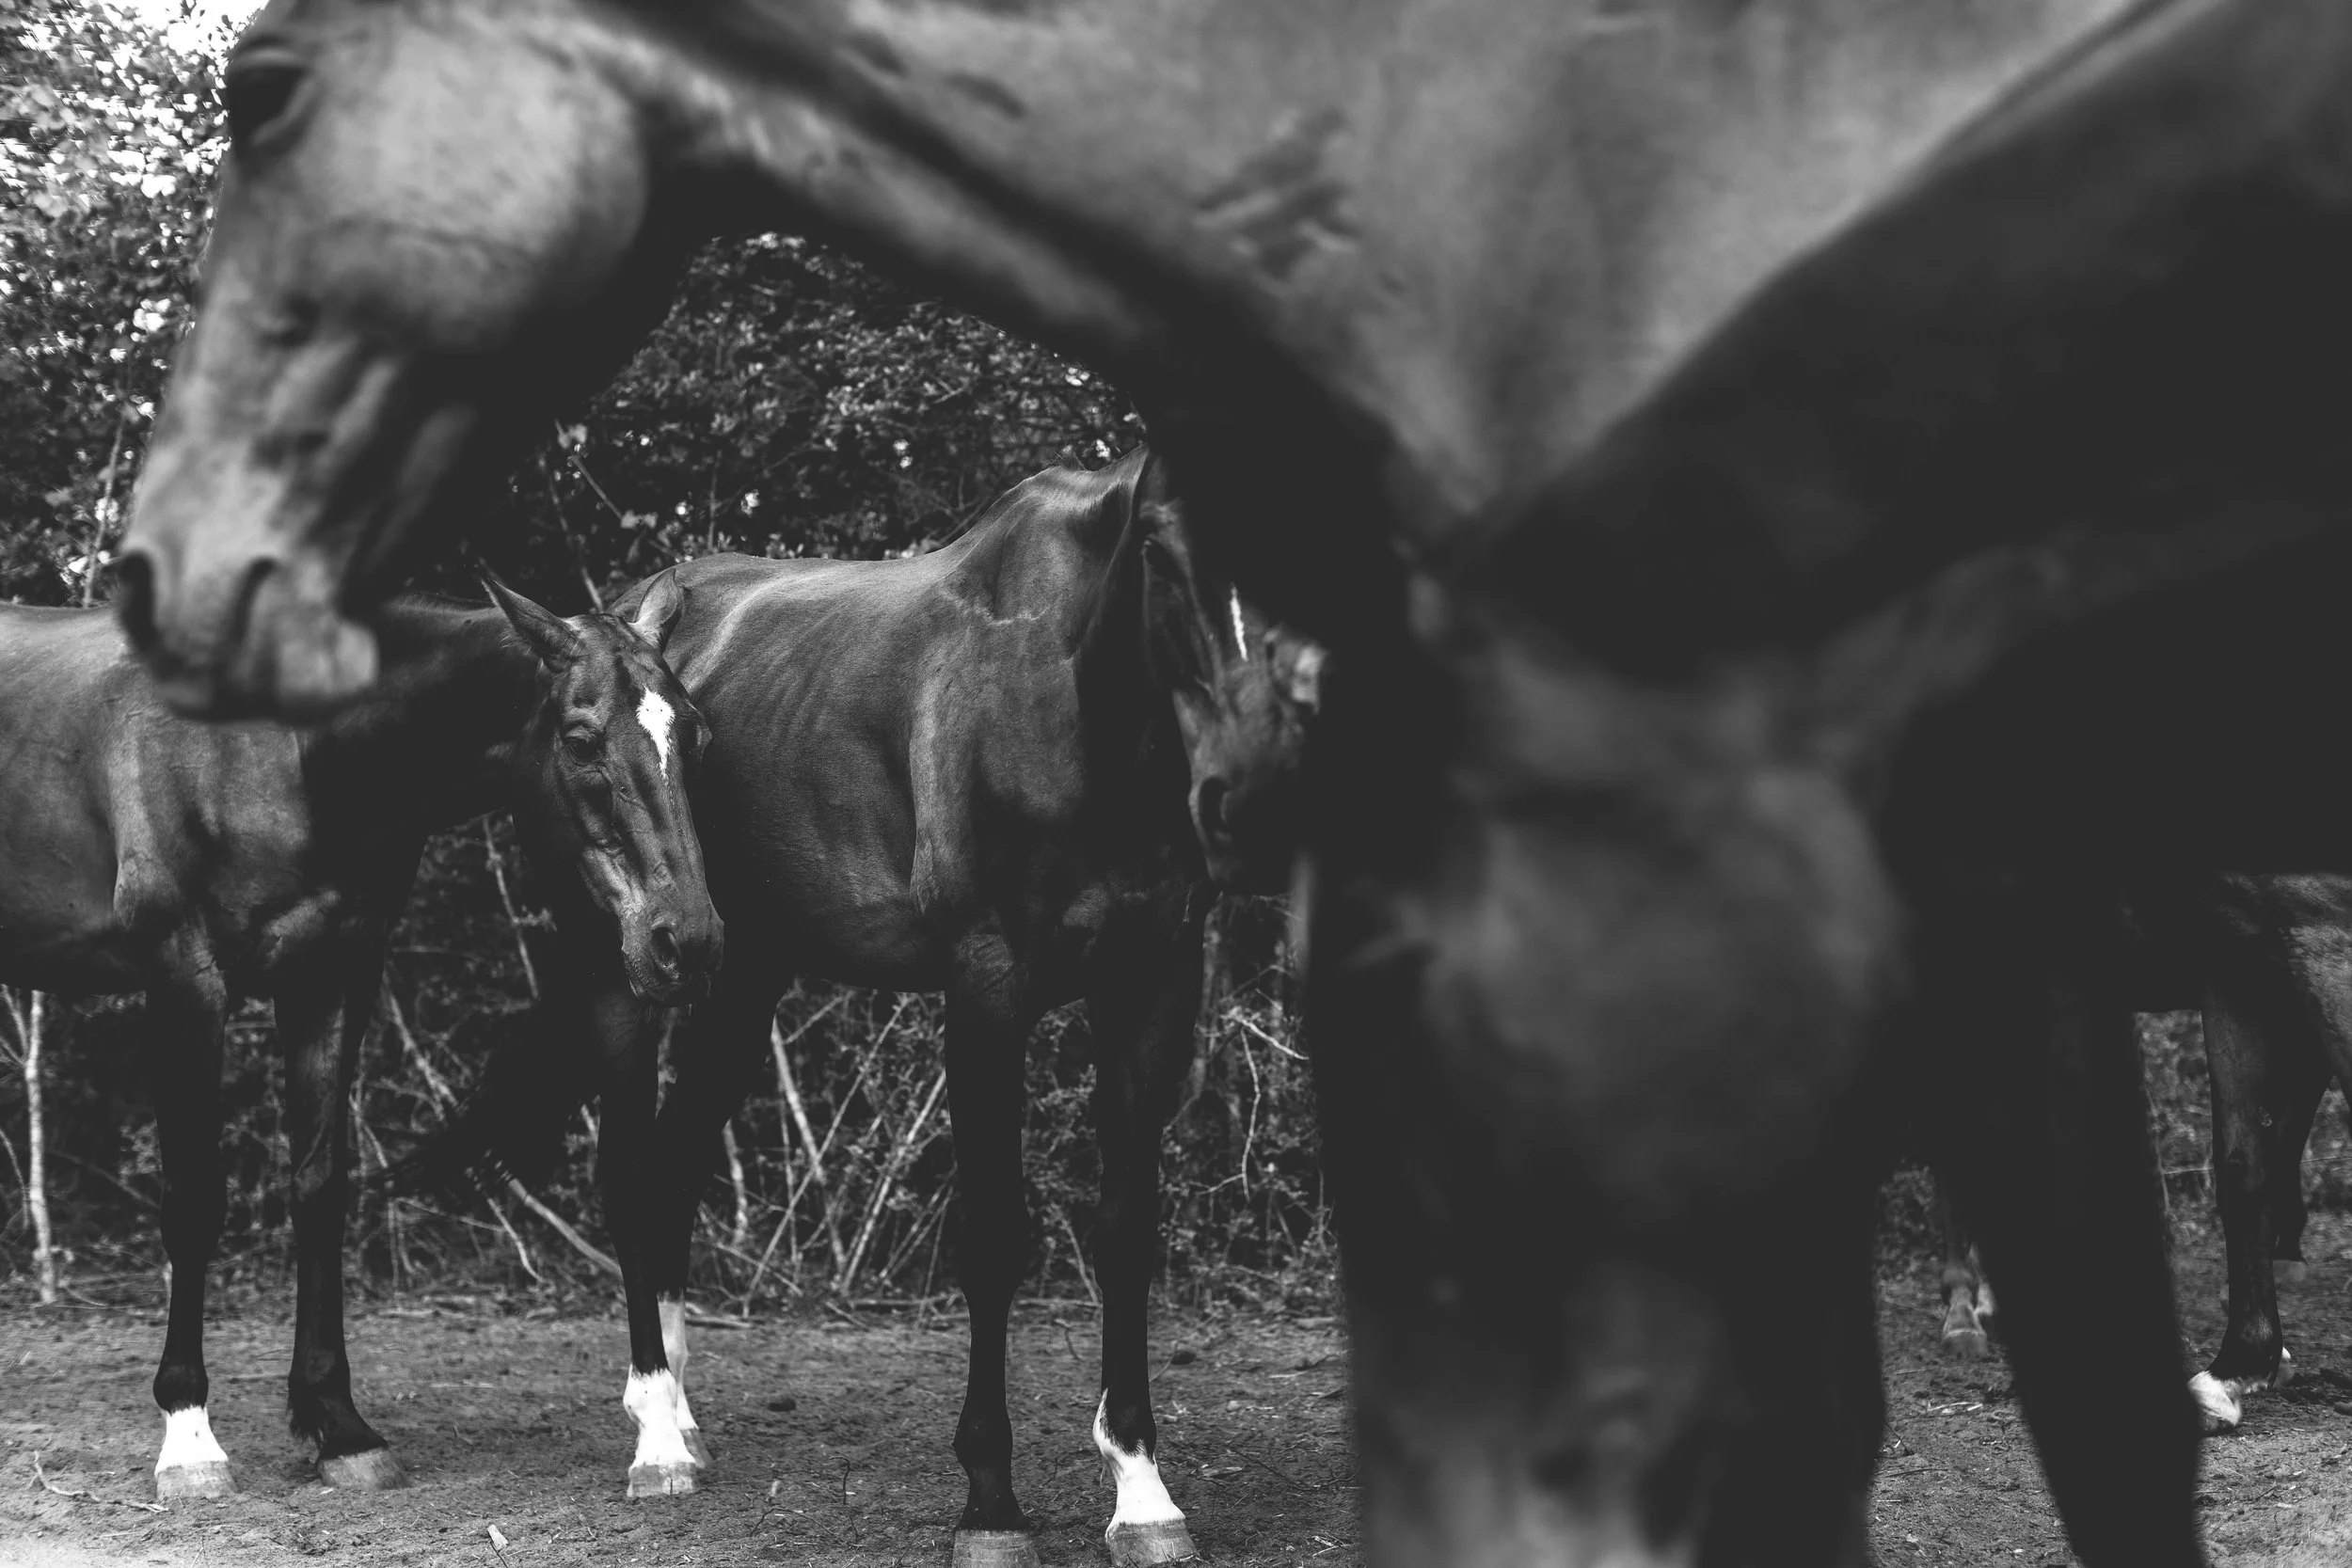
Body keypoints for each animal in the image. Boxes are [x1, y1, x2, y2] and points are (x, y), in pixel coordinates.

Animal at [0, 576, 720, 1497]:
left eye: (692, 731)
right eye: (582, 737)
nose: (686, 940)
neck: (282, 747)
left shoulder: (332, 975)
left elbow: (320, 1186)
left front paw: (337, 1426)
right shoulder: (183, 979)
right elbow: (194, 1199)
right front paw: (190, 1439)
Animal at [406, 448, 1316, 1567]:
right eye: (1157, 544)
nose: (1258, 797)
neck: (1067, 702)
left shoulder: (1153, 982)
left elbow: (1127, 1231)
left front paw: (1143, 1490)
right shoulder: (985, 986)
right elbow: (992, 1234)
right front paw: (990, 1502)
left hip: (734, 974)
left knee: (675, 1166)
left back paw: (683, 1423)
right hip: (622, 965)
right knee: (627, 1172)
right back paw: (656, 1437)